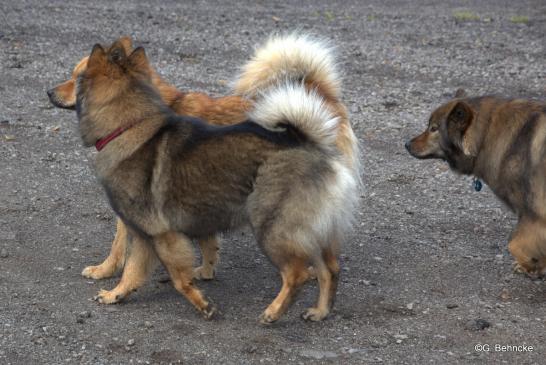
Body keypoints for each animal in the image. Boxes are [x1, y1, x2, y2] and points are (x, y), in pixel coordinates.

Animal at [75, 37, 356, 322]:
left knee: (296, 273)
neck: (128, 126)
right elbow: (134, 272)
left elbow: (175, 277)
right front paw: (116, 294)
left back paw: (273, 312)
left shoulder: (157, 232)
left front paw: (202, 304)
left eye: (77, 79)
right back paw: (320, 311)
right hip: (312, 230)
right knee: (329, 269)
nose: (58, 94)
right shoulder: (149, 234)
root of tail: (310, 142)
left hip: (273, 228)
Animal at [406, 89, 544, 278]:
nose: (406, 144)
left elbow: (515, 244)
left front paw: (531, 265)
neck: (485, 135)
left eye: (433, 128)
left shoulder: (532, 212)